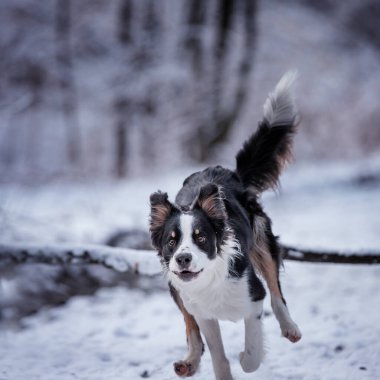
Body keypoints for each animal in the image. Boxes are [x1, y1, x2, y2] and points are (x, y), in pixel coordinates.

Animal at [150, 72, 302, 380]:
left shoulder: (253, 300)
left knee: (277, 292)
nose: (183, 259)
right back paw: (189, 361)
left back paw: (290, 327)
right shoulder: (203, 313)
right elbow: (215, 353)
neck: (210, 277)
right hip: (175, 286)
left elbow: (252, 354)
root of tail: (225, 171)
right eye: (171, 241)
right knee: (189, 326)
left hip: (262, 239)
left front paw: (245, 356)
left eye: (201, 237)